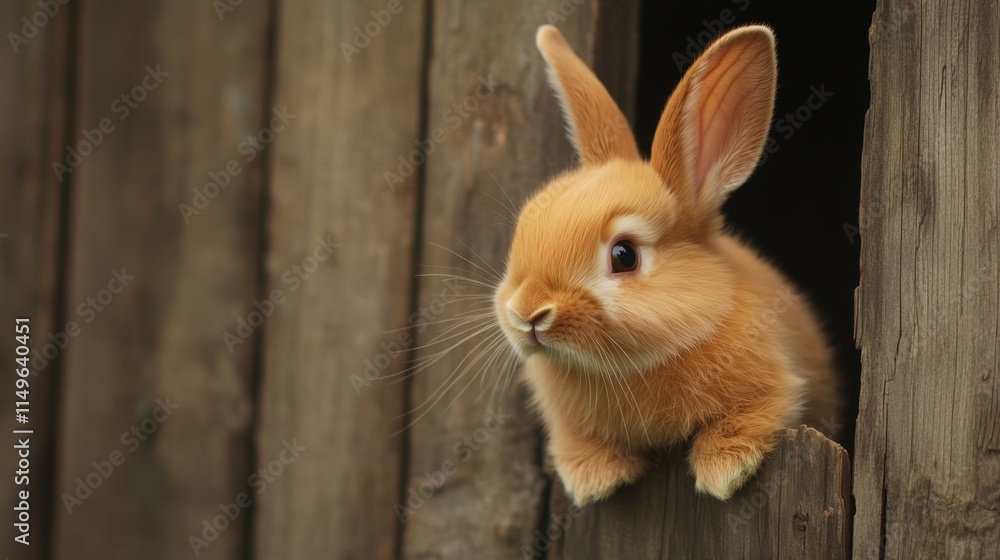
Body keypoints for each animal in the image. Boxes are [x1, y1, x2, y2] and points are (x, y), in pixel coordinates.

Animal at [493, 24, 840, 506]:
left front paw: (723, 471)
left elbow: (754, 414)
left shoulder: (775, 387)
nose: (528, 313)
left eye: (624, 255)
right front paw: (594, 479)